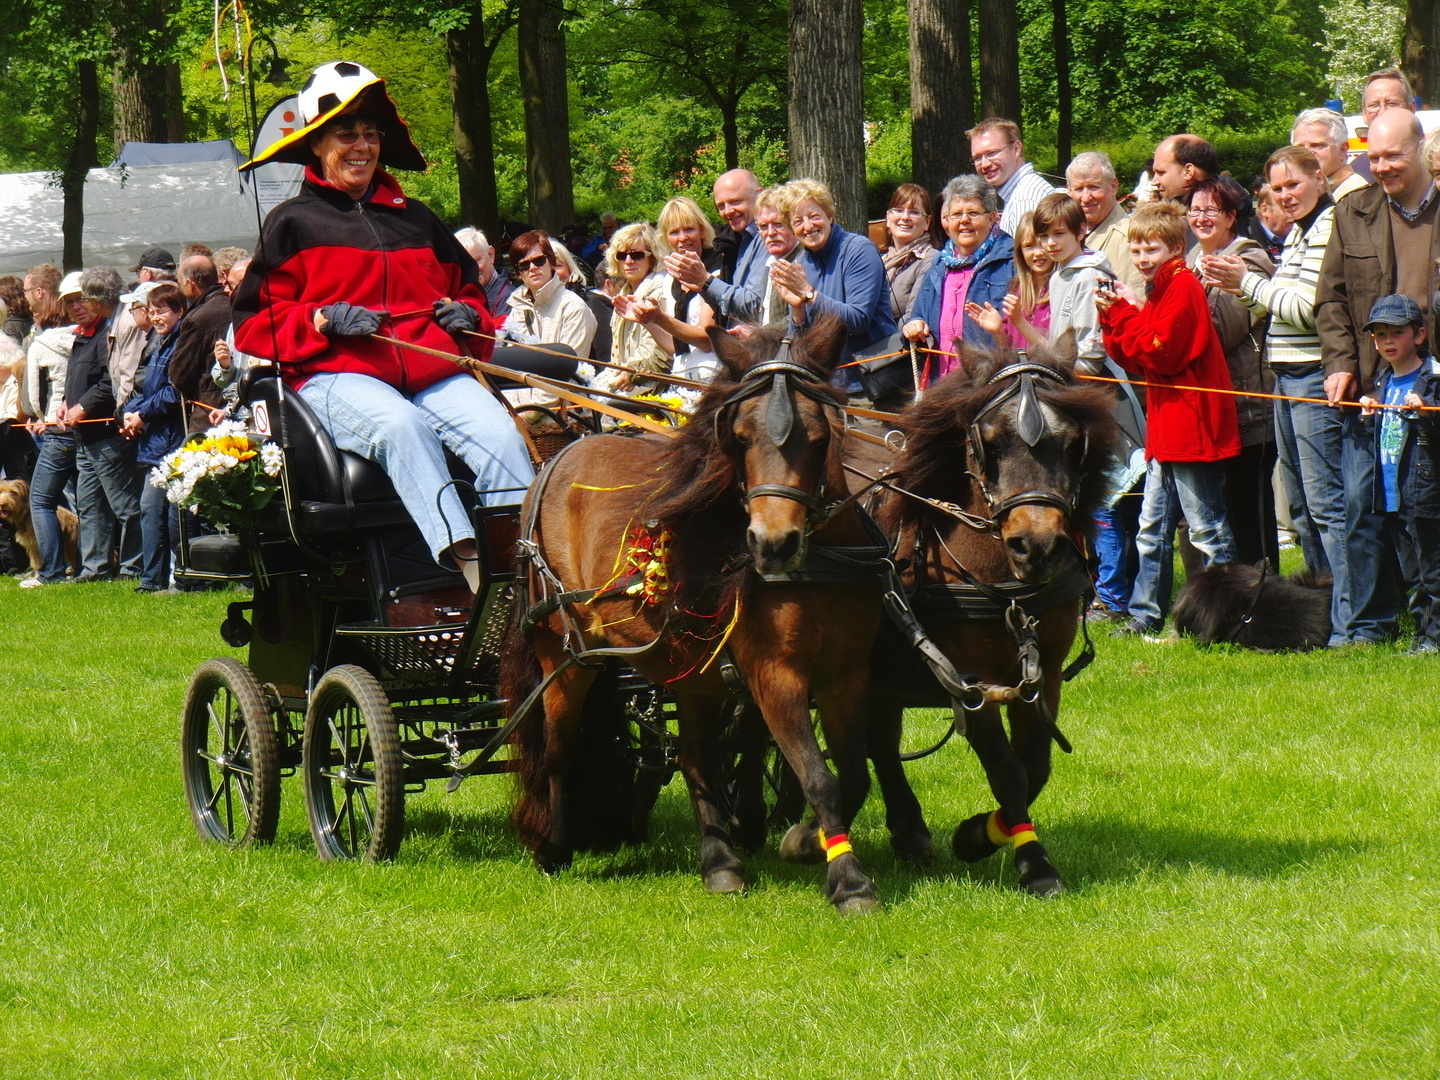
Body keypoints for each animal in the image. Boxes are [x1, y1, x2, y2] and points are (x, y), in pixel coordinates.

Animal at [506, 319, 887, 915]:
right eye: (741, 438)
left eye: (820, 437)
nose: (772, 544)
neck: (819, 564)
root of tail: (557, 459)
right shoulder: (775, 674)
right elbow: (819, 777)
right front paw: (849, 881)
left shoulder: (847, 674)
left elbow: (851, 775)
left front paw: (804, 842)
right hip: (565, 653)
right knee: (560, 750)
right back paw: (555, 845)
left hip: (690, 667)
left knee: (696, 758)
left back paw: (720, 860)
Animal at [829, 336, 1117, 898]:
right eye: (990, 442)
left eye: (1074, 442)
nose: (1038, 545)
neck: (1007, 589)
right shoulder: (972, 680)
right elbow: (1008, 771)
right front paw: (1033, 862)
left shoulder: (1043, 675)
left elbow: (1036, 768)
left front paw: (979, 834)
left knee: (881, 742)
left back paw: (910, 831)